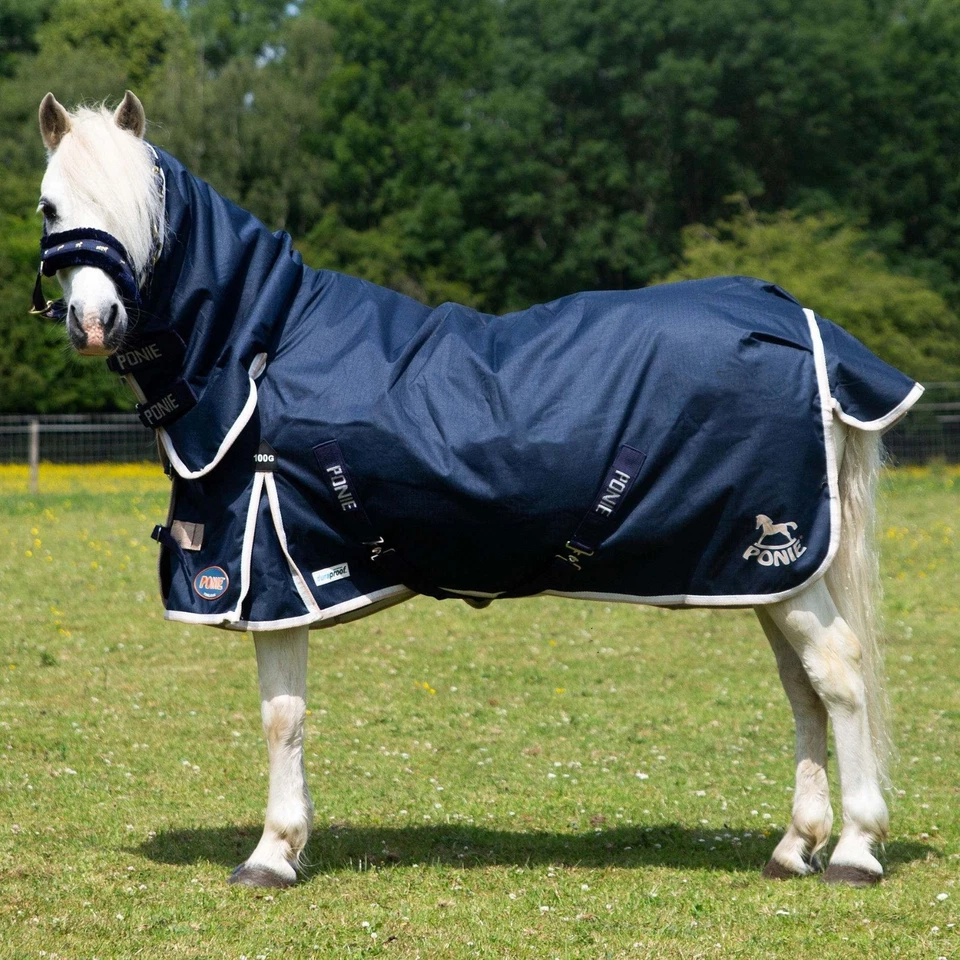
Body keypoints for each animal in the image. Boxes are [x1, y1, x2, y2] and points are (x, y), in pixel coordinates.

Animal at [33, 91, 924, 889]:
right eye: (50, 207)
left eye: (141, 206)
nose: (95, 323)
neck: (260, 353)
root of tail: (804, 323)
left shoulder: (276, 573)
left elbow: (281, 716)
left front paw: (272, 854)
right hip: (763, 574)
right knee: (803, 691)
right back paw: (794, 847)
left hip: (781, 565)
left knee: (839, 675)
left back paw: (854, 852)